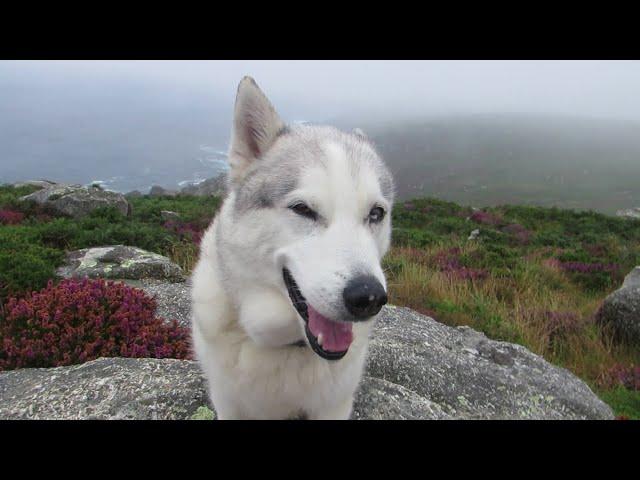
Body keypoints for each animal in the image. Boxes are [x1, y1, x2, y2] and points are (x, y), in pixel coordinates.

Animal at [189, 77, 396, 418]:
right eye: (303, 209)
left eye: (376, 213)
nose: (368, 297)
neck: (285, 347)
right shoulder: (227, 401)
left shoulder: (335, 405)